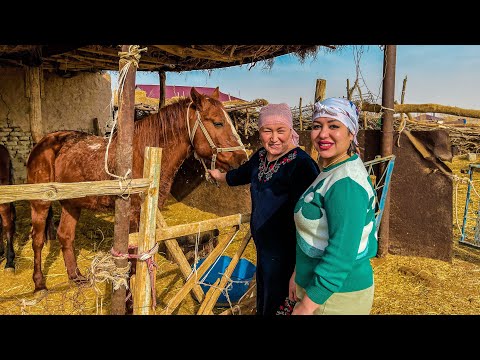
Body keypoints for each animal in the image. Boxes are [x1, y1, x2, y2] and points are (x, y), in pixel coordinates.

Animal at [26, 87, 249, 296]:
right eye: (218, 123)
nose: (243, 159)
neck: (143, 156)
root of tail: (43, 142)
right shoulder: (133, 216)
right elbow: (133, 257)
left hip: (72, 203)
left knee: (65, 236)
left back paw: (76, 277)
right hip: (40, 204)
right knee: (37, 240)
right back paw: (39, 284)